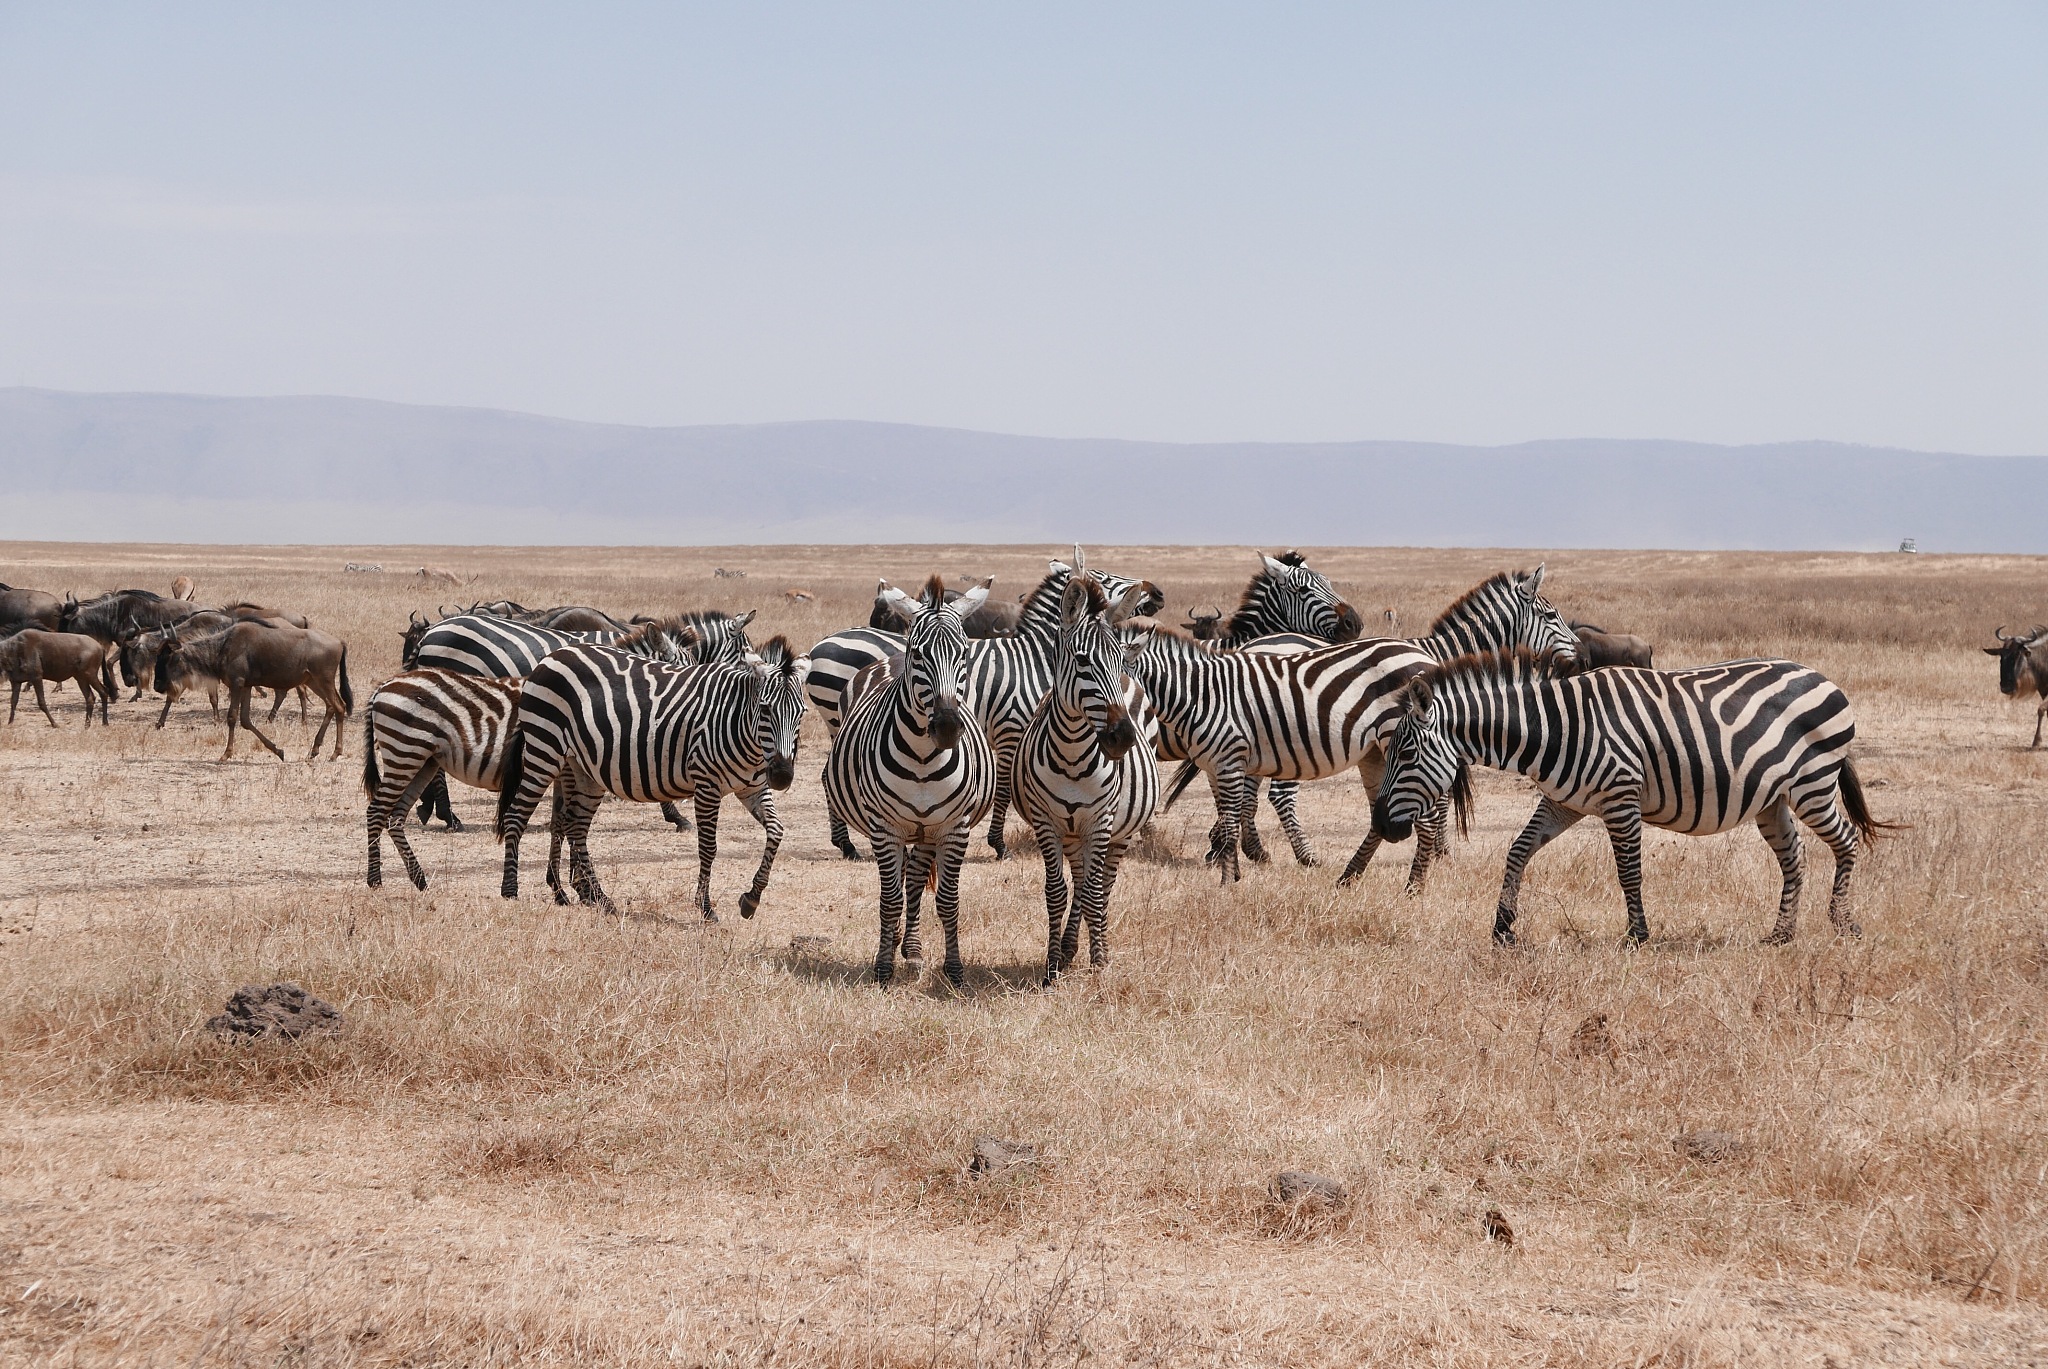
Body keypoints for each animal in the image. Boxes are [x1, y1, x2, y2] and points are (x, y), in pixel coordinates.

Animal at [493, 637, 811, 921]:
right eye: (766, 709)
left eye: (802, 713)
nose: (782, 776)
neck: (740, 725)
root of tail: (550, 657)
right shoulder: (706, 784)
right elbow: (708, 847)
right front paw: (706, 908)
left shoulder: (753, 787)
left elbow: (777, 832)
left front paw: (751, 899)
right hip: (544, 750)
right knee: (517, 815)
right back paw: (510, 890)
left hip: (582, 768)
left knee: (574, 826)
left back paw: (597, 898)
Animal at [805, 556, 1162, 861]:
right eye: (1104, 578)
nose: (1157, 593)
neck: (1033, 656)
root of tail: (820, 644)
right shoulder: (1010, 728)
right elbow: (1003, 790)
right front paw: (999, 845)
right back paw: (848, 844)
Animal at [823, 577, 997, 988]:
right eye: (919, 654)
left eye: (964, 653)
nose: (947, 727)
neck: (922, 759)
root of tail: (888, 657)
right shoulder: (885, 827)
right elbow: (889, 900)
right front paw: (883, 968)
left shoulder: (953, 827)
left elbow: (947, 900)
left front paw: (954, 970)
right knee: (903, 880)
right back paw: (898, 942)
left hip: (926, 830)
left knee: (915, 878)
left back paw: (912, 948)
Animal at [1011, 568, 1159, 983]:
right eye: (1081, 661)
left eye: (1117, 660)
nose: (1122, 737)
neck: (1074, 756)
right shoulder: (1046, 821)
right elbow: (1057, 892)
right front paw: (1052, 965)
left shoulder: (1101, 820)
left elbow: (1094, 893)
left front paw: (1100, 962)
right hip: (1072, 833)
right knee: (1079, 882)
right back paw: (1069, 948)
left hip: (1119, 832)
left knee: (1102, 885)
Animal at [1370, 651, 1887, 946]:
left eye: (1407, 753)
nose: (1381, 826)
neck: (1553, 728)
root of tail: (1821, 675)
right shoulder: (1564, 802)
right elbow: (1517, 851)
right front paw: (1502, 927)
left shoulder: (1621, 795)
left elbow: (1628, 871)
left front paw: (1638, 935)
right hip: (1771, 799)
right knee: (1795, 856)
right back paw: (1781, 935)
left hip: (1813, 784)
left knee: (1845, 842)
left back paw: (1844, 924)